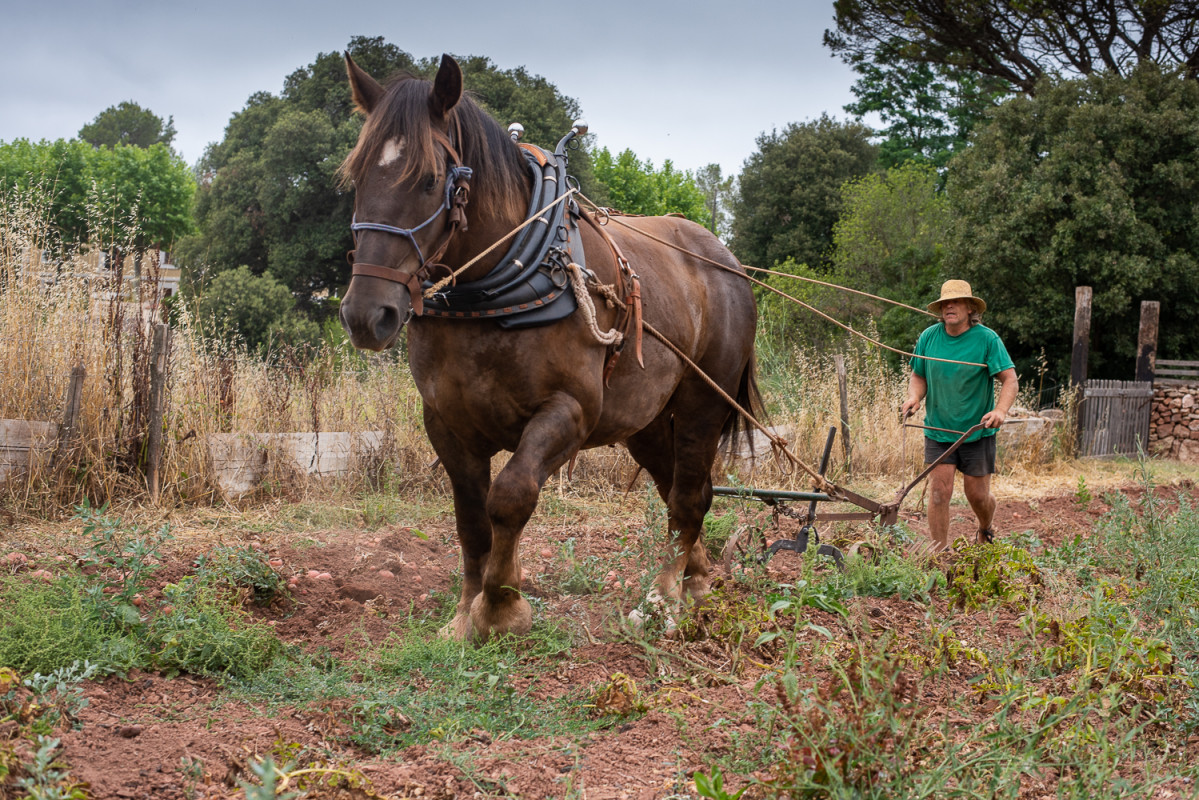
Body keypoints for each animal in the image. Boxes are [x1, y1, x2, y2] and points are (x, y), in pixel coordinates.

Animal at [335, 53, 757, 642]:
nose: (365, 315)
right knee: (676, 487)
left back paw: (662, 599)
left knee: (690, 495)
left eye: (429, 180)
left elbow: (511, 496)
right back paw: (695, 581)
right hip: (646, 421)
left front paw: (502, 606)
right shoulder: (445, 421)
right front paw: (466, 612)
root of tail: (725, 260)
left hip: (703, 402)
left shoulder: (570, 411)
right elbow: (471, 517)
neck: (494, 292)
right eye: (356, 175)